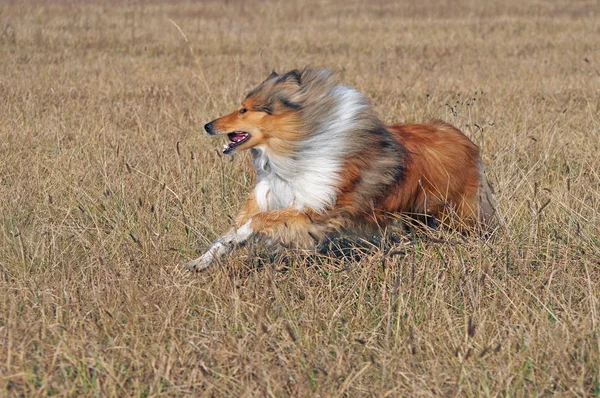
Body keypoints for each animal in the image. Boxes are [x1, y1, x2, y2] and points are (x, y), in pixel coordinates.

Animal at [185, 69, 494, 274]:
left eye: (244, 110)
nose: (207, 125)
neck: (295, 149)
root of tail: (461, 137)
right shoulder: (270, 198)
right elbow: (229, 234)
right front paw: (199, 262)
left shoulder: (313, 212)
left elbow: (257, 221)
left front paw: (235, 239)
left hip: (457, 212)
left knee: (481, 230)